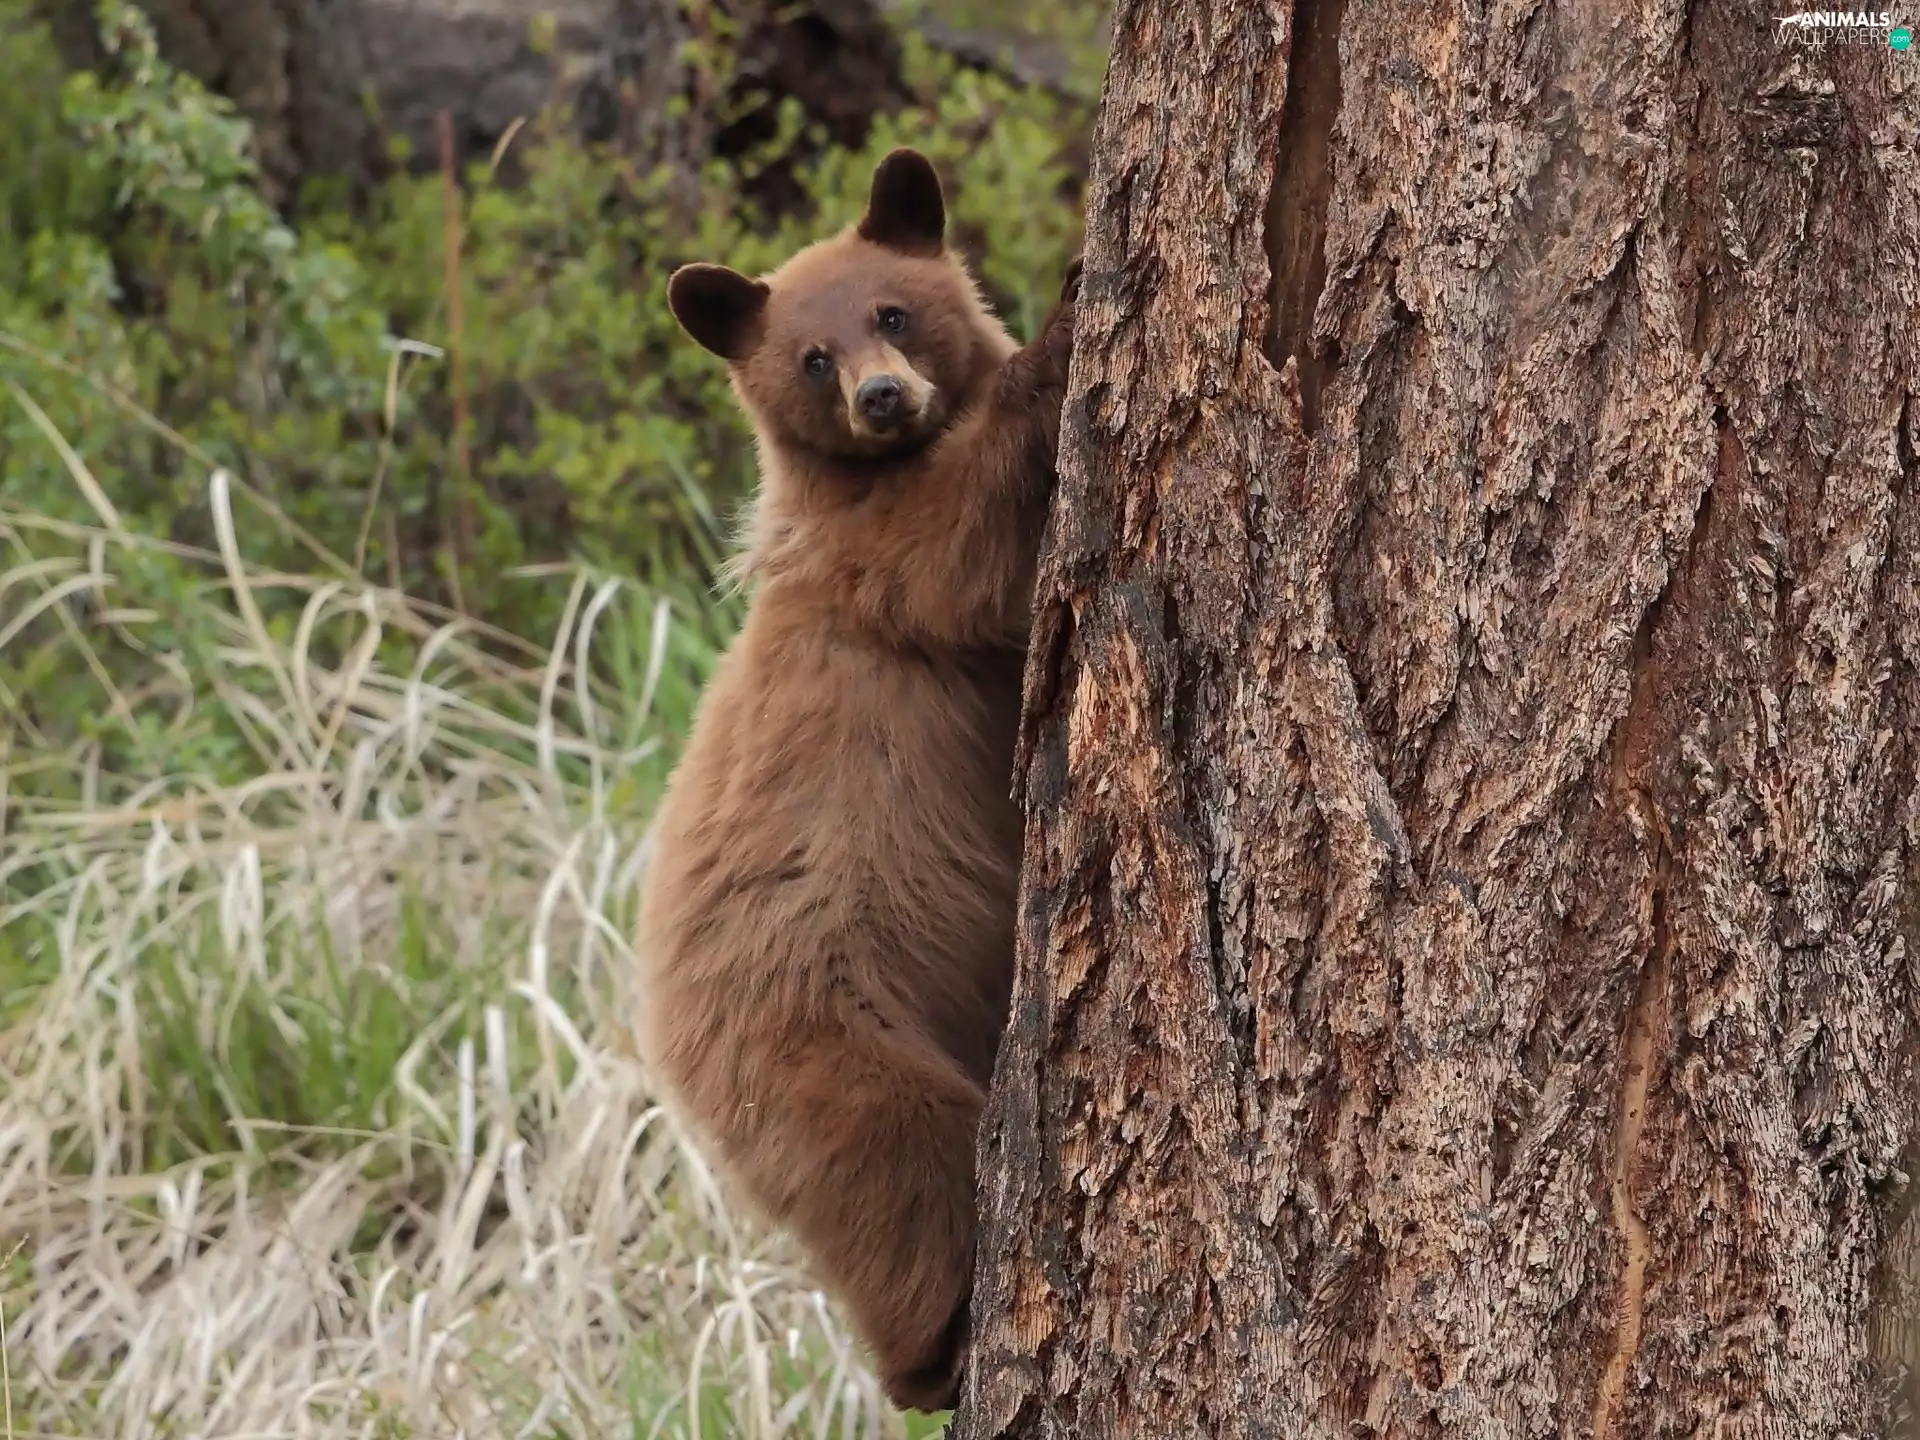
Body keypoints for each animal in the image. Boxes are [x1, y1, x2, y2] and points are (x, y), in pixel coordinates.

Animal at [634, 147, 1080, 1413]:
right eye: (811, 358)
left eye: (892, 312)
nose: (883, 397)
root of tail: (668, 1054)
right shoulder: (874, 562)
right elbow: (960, 542)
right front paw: (1066, 322)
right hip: (831, 1041)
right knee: (902, 1176)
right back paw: (934, 1353)